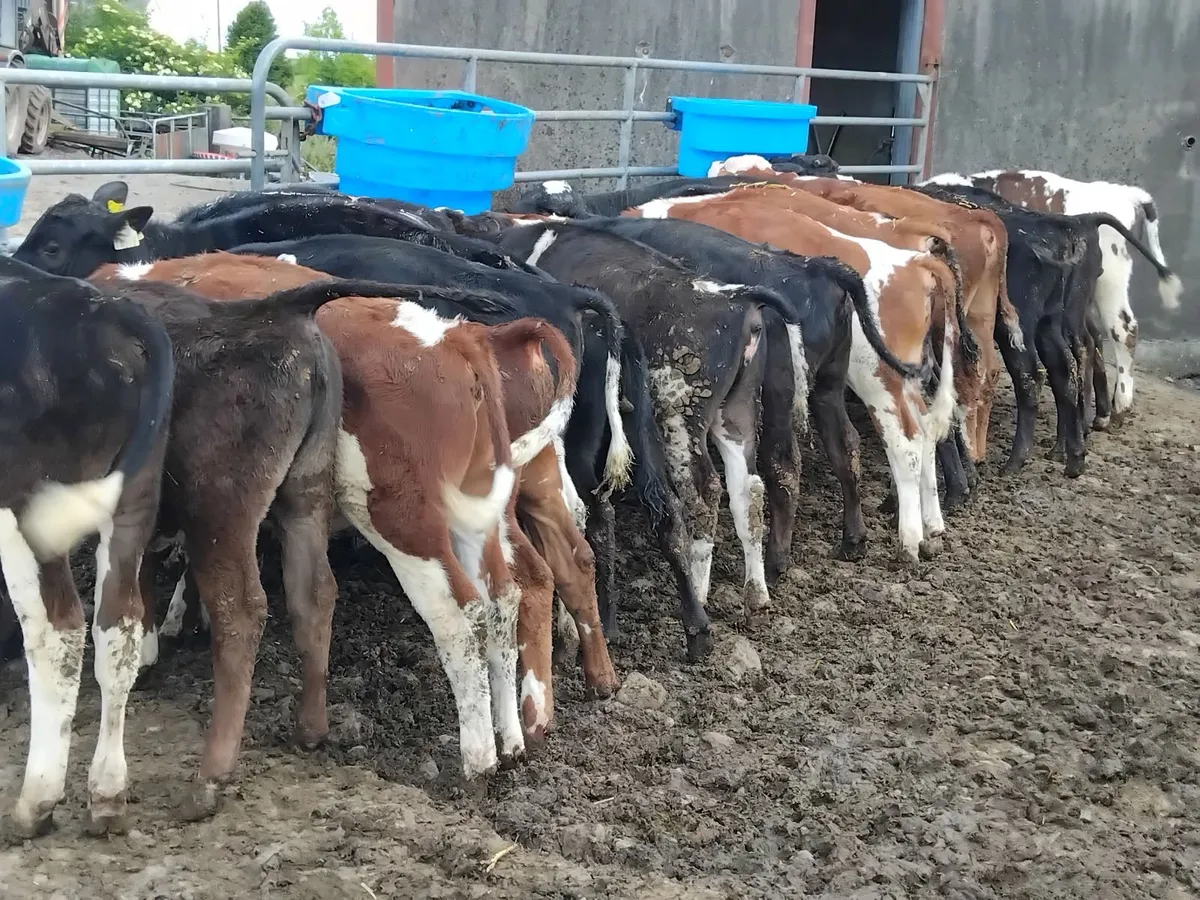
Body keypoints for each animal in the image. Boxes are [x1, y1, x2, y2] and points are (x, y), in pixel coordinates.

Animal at [0, 258, 174, 839]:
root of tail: (104, 308)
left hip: (24, 506)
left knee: (59, 629)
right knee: (118, 625)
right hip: (134, 495)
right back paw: (108, 795)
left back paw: (36, 801)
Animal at [565, 215, 918, 574]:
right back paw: (853, 540)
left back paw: (776, 562)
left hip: (776, 393)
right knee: (845, 447)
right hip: (827, 385)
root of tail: (814, 267)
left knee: (782, 465)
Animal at [923, 169, 1183, 427]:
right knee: (1089, 342)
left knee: (1121, 331)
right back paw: (1099, 415)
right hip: (1079, 301)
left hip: (1109, 285)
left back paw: (1119, 407)